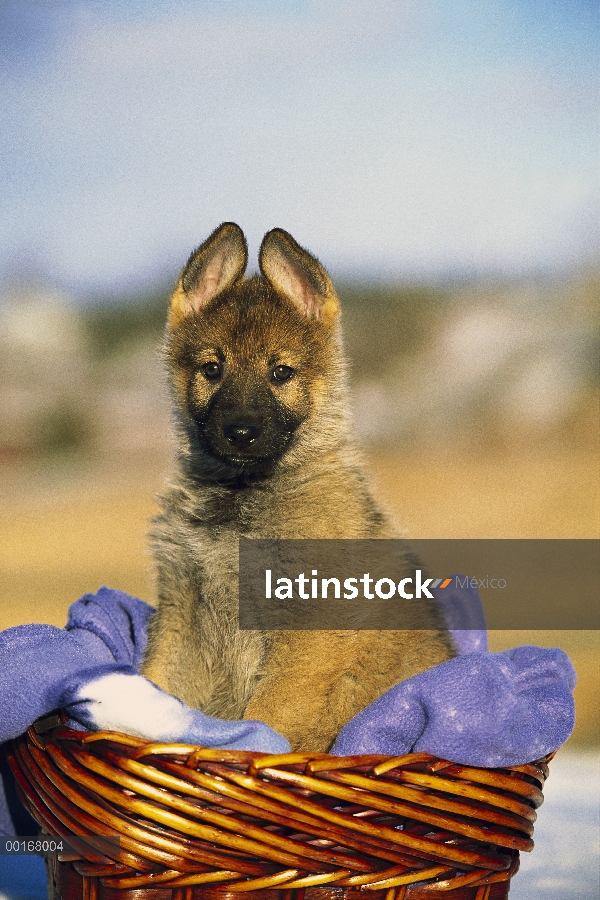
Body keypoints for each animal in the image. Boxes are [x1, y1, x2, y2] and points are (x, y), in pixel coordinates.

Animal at [142, 223, 454, 752]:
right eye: (212, 370)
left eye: (281, 373)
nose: (240, 432)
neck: (243, 496)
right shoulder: (182, 607)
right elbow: (155, 682)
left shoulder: (308, 627)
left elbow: (270, 719)